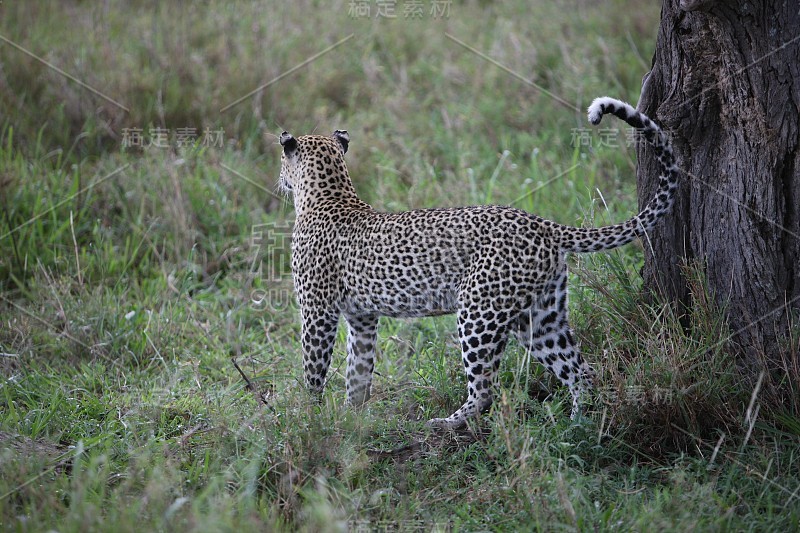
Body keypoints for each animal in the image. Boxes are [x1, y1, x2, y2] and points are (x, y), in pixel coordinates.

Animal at [278, 96, 680, 428]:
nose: (279, 180)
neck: (327, 193)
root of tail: (542, 223)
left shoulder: (317, 310)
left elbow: (314, 368)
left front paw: (310, 419)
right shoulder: (362, 317)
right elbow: (358, 371)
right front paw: (352, 418)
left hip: (479, 311)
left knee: (486, 388)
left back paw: (446, 423)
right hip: (540, 317)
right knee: (580, 371)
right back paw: (578, 427)